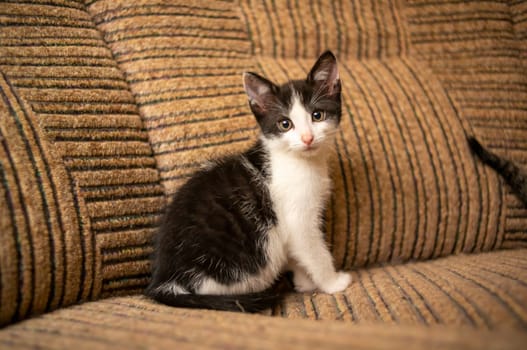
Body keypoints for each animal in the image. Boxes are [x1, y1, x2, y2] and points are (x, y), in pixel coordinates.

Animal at [144, 51, 352, 312]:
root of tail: (165, 281)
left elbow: (298, 252)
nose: (307, 138)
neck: (300, 161)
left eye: (317, 115)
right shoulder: (298, 218)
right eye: (285, 124)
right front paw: (333, 282)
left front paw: (304, 282)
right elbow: (314, 250)